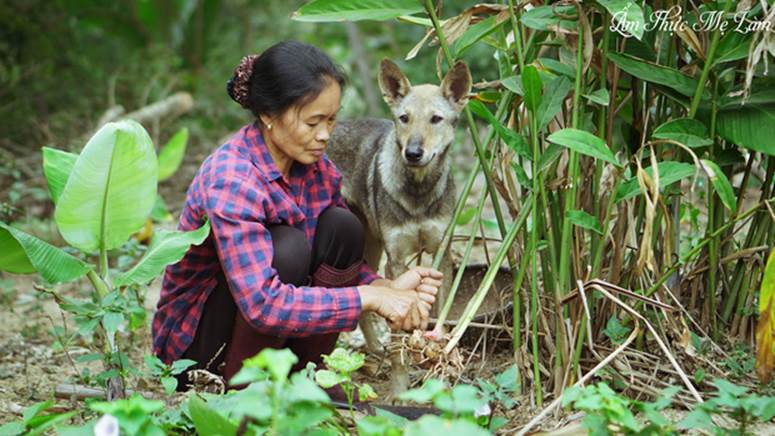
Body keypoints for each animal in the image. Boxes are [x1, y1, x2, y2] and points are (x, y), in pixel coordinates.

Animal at [326, 58, 472, 398]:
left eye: (435, 119)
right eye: (404, 119)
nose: (413, 153)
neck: (418, 195)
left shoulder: (440, 256)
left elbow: (439, 320)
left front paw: (441, 376)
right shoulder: (397, 261)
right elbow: (399, 336)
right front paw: (399, 389)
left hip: (372, 245)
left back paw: (374, 349)